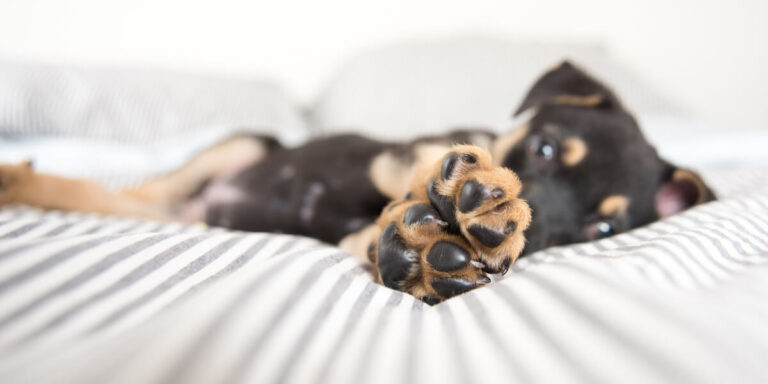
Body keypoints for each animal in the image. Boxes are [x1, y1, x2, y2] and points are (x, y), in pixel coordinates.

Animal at [0, 62, 712, 304]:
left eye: (602, 228)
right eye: (541, 149)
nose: (526, 235)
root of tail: (208, 209)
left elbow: (374, 233)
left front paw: (424, 251)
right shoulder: (412, 148)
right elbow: (416, 161)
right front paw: (463, 195)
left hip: (196, 205)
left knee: (137, 208)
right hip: (243, 144)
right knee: (127, 195)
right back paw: (18, 178)